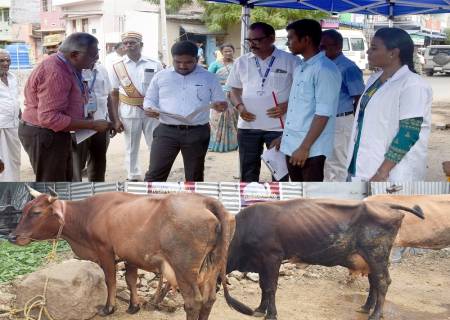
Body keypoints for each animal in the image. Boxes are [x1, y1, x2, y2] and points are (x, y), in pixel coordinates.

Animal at [7, 188, 246, 320]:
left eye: (36, 212)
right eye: (24, 209)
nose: (11, 237)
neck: (88, 213)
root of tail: (206, 200)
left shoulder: (104, 250)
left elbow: (111, 280)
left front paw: (109, 308)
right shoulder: (131, 256)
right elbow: (131, 280)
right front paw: (133, 306)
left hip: (185, 269)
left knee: (194, 302)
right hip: (211, 267)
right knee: (209, 299)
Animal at [225, 198, 426, 320]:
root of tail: (386, 205)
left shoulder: (272, 257)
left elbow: (270, 287)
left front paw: (270, 314)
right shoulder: (261, 262)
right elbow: (263, 286)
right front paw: (259, 309)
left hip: (377, 254)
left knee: (383, 281)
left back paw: (375, 314)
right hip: (369, 259)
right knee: (374, 282)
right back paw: (366, 307)